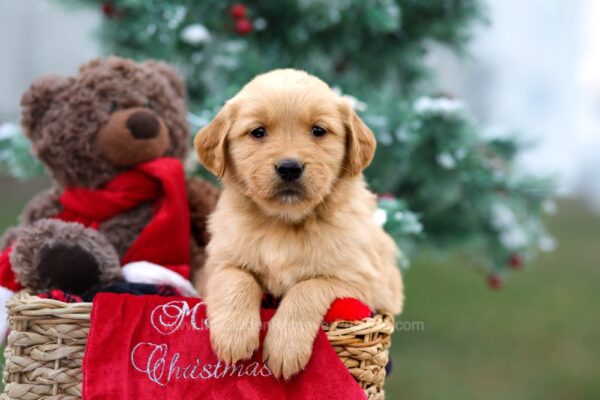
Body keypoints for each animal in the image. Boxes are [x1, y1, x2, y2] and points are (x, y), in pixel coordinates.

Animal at [196, 68, 404, 378]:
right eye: (258, 132)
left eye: (318, 131)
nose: (289, 167)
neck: (284, 225)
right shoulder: (216, 265)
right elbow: (237, 278)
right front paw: (233, 337)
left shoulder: (363, 281)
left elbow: (308, 286)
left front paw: (285, 347)